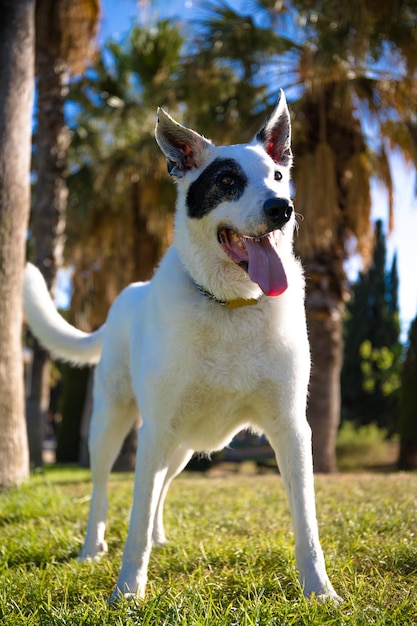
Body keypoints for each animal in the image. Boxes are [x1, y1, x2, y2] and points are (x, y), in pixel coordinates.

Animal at [23, 88, 338, 600]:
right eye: (227, 180)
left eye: (277, 176)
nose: (282, 208)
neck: (231, 304)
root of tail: (126, 295)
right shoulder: (153, 431)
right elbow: (133, 516)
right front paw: (127, 592)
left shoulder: (292, 429)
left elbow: (307, 524)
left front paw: (320, 592)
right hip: (114, 425)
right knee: (103, 488)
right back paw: (92, 547)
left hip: (182, 446)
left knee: (161, 487)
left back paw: (158, 535)